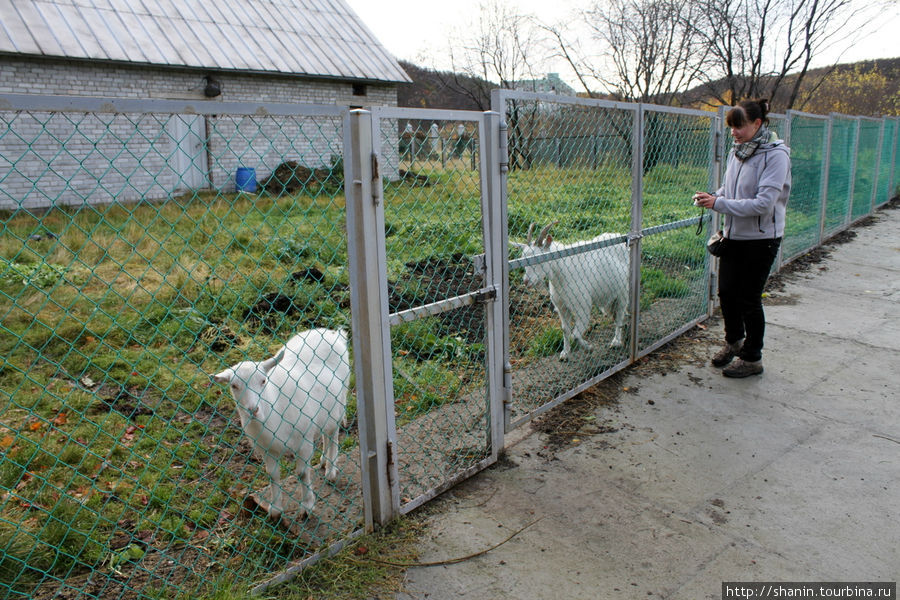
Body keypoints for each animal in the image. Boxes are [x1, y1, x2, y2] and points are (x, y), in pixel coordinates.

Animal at [213, 328, 350, 520]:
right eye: (234, 385)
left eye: (263, 381)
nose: (253, 410)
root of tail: (333, 334)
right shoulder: (267, 449)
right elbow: (273, 475)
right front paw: (275, 509)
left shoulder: (304, 441)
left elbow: (302, 473)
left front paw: (307, 506)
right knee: (325, 432)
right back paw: (323, 461)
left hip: (339, 401)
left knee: (334, 433)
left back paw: (331, 468)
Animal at [512, 221, 632, 358]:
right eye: (523, 258)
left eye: (539, 258)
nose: (526, 281)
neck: (562, 272)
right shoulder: (562, 307)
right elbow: (565, 330)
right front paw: (565, 353)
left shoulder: (583, 307)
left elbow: (575, 335)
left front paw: (588, 347)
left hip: (623, 291)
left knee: (620, 315)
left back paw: (616, 341)